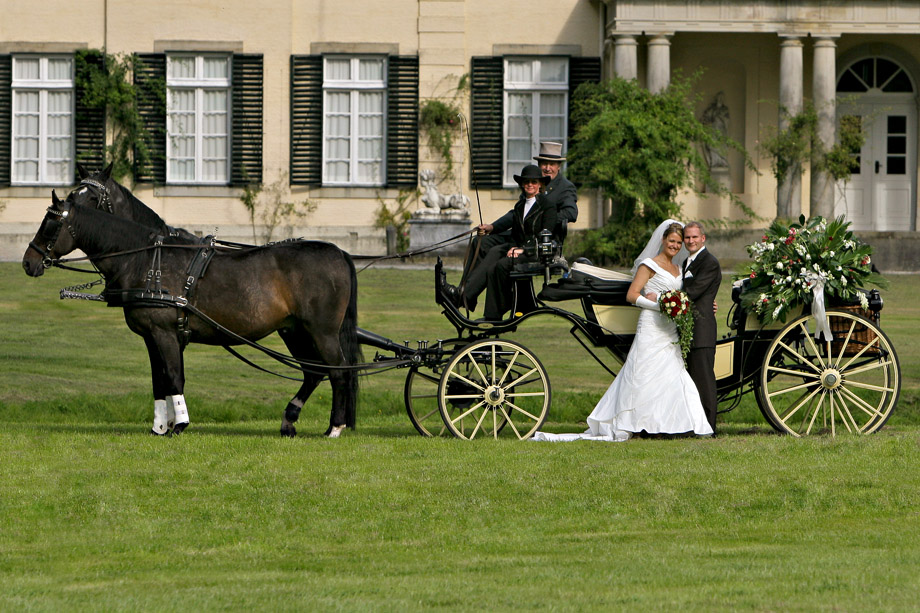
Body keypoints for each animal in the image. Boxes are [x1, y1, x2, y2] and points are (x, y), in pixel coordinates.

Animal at [21, 191, 360, 436]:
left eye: (50, 223)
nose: (28, 262)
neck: (146, 261)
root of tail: (340, 253)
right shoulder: (152, 336)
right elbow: (159, 380)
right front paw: (160, 426)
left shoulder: (165, 332)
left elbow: (173, 376)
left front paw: (180, 424)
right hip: (294, 330)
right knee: (314, 372)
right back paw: (290, 420)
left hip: (321, 331)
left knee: (339, 370)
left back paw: (334, 427)